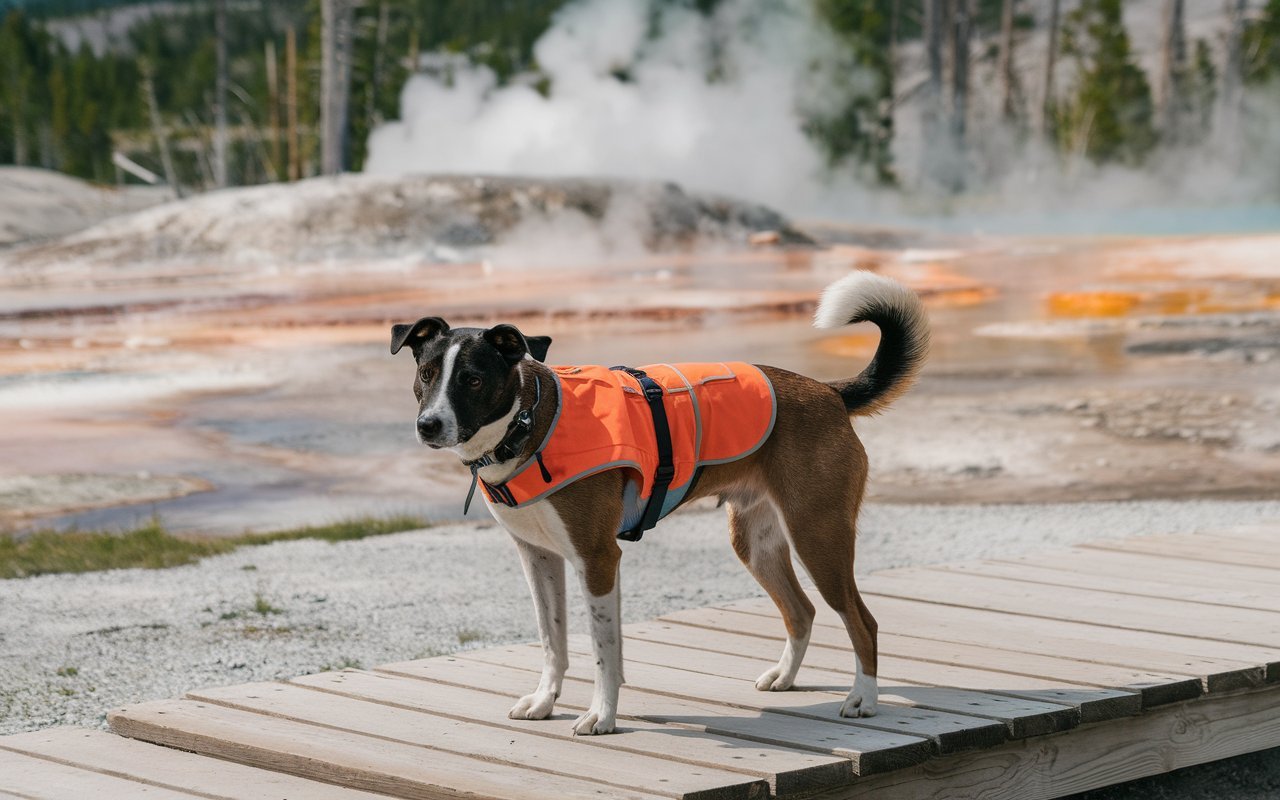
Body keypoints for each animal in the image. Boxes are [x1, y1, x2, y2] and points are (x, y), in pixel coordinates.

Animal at [389, 271, 931, 732]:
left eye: (472, 379)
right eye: (427, 373)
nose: (428, 426)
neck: (528, 426)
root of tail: (829, 393)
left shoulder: (597, 558)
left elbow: (602, 647)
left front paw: (601, 716)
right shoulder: (539, 557)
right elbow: (553, 640)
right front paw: (545, 702)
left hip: (818, 536)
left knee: (862, 621)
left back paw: (863, 699)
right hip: (756, 544)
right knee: (802, 612)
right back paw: (785, 677)